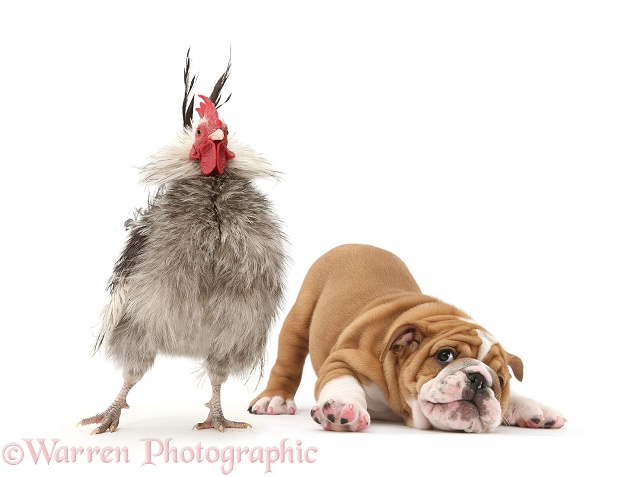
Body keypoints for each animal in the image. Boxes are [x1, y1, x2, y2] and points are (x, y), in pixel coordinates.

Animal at [247, 245, 564, 432]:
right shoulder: (343, 359)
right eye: (444, 356)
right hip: (299, 317)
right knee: (287, 361)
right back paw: (274, 398)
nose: (478, 379)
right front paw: (343, 409)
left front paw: (533, 408)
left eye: (499, 380)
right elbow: (343, 382)